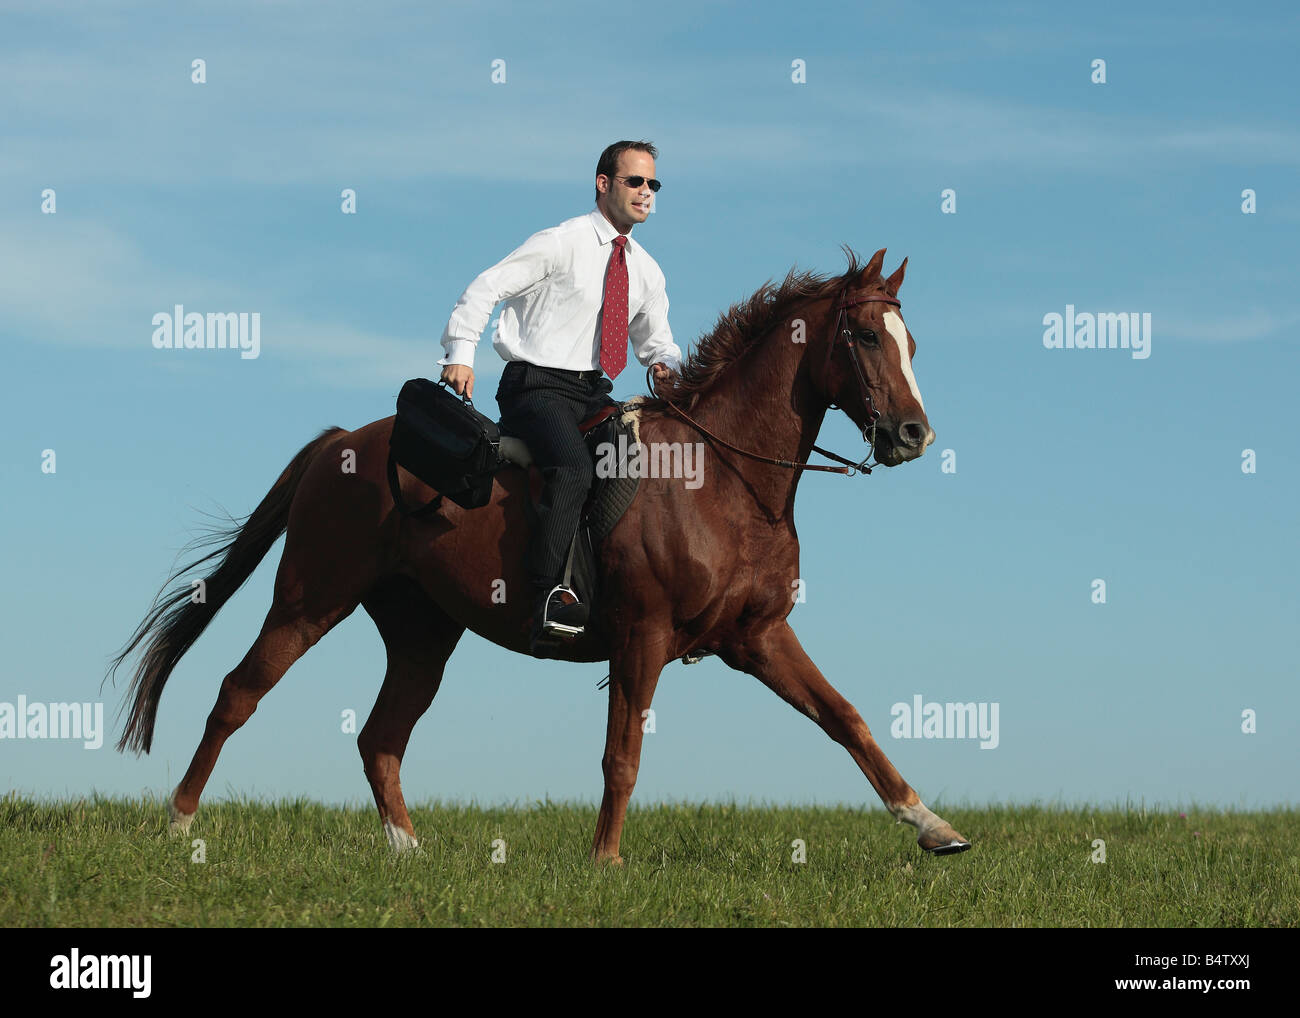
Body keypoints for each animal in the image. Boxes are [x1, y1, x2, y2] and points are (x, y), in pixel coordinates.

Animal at [109, 247, 967, 858]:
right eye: (864, 336)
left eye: (912, 341)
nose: (914, 435)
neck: (724, 477)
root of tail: (339, 444)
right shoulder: (643, 637)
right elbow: (622, 756)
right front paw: (606, 862)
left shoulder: (758, 637)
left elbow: (846, 719)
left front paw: (933, 826)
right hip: (310, 599)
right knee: (237, 694)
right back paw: (179, 827)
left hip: (422, 633)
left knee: (380, 737)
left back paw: (408, 852)